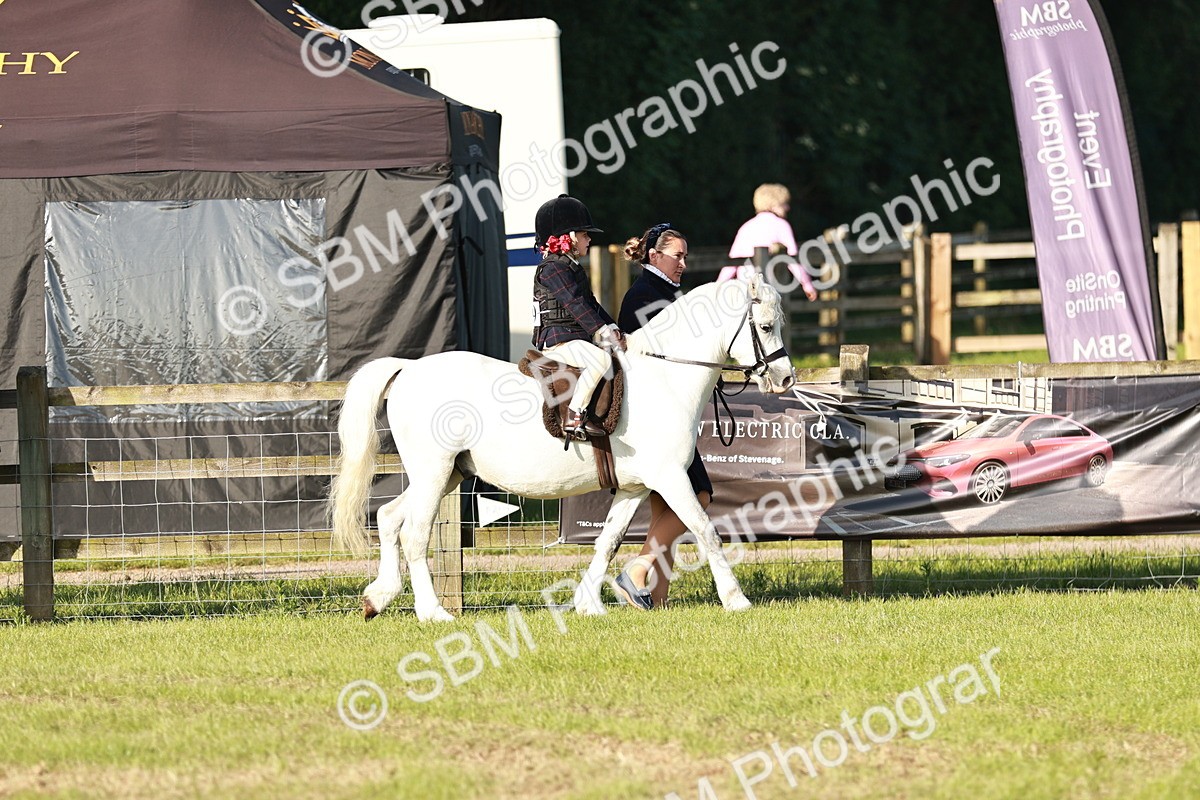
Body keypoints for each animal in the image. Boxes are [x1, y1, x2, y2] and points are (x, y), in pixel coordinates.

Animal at [329, 273, 796, 622]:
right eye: (766, 326)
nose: (786, 379)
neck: (664, 377)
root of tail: (407, 370)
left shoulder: (635, 487)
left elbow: (608, 542)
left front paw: (588, 605)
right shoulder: (670, 478)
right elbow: (705, 531)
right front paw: (736, 600)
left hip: (448, 474)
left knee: (389, 519)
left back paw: (378, 598)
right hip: (433, 472)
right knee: (414, 535)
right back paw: (433, 613)